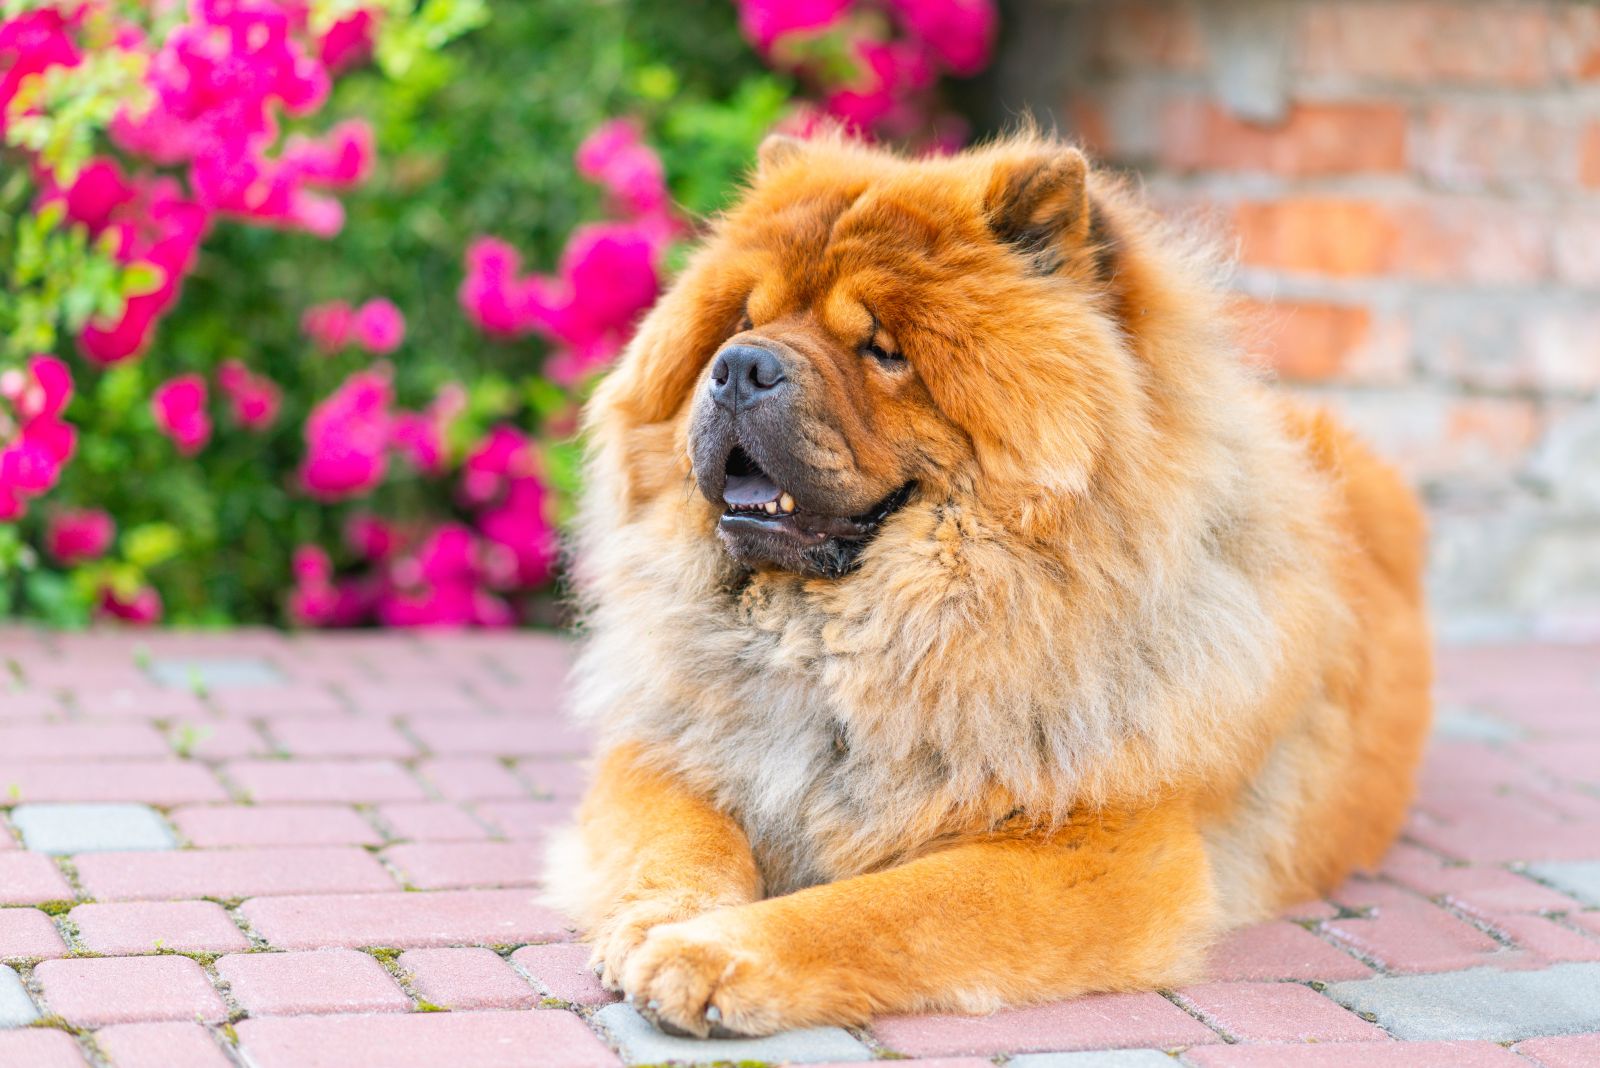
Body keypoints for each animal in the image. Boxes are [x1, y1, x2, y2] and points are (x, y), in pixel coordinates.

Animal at [544, 129, 1433, 1036]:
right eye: (743, 323)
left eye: (884, 351)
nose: (741, 367)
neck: (840, 652)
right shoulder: (665, 753)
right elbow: (682, 841)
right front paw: (659, 920)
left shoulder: (1105, 852)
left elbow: (883, 907)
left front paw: (708, 953)